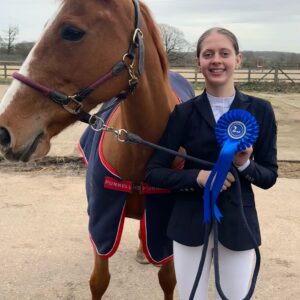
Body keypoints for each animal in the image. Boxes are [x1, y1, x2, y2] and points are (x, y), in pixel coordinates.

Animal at [0, 0, 195, 300]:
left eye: (71, 31)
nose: (4, 130)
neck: (139, 152)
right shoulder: (101, 222)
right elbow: (98, 281)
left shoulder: (164, 229)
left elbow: (168, 280)